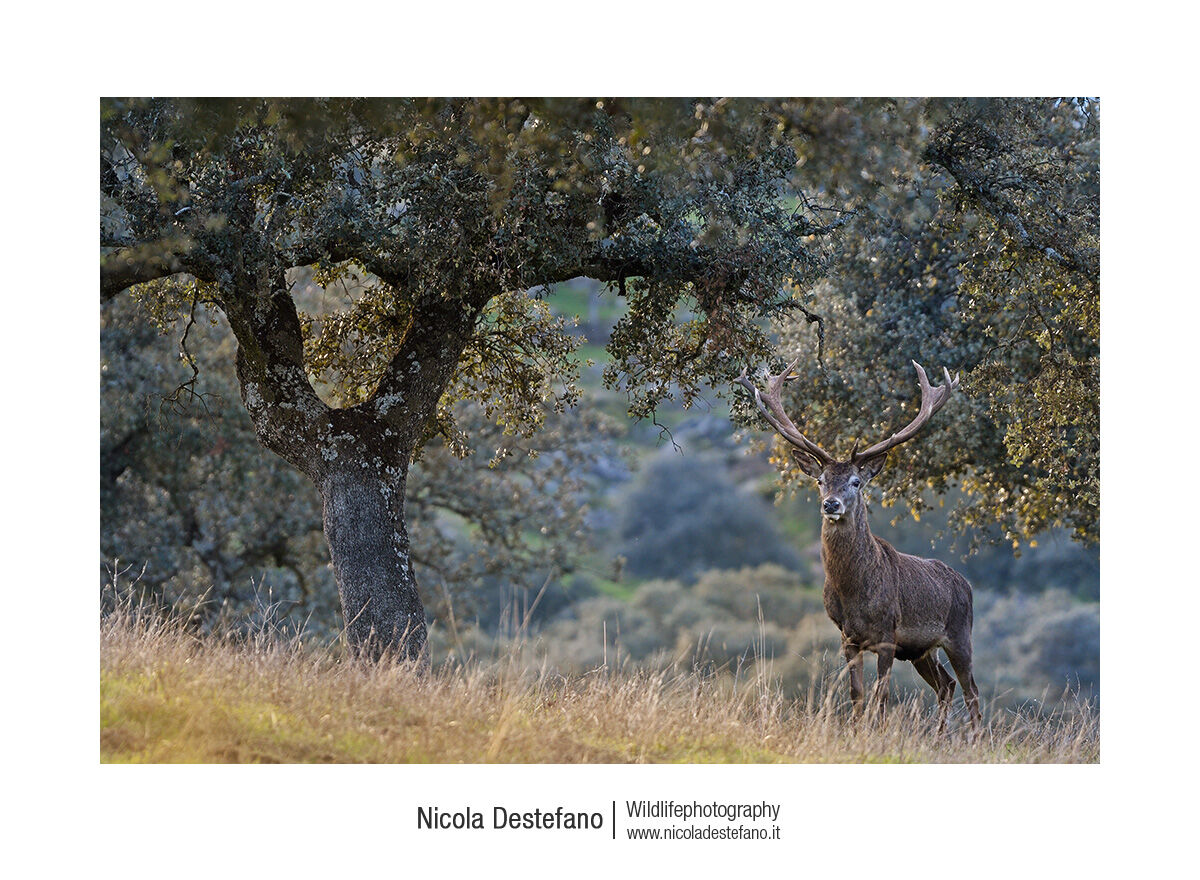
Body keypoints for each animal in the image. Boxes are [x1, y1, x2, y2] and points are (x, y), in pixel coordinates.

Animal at [736, 358, 981, 733]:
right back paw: (940, 736)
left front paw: (876, 734)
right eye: (821, 481)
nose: (831, 504)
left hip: (959, 633)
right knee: (946, 684)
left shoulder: (887, 635)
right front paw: (856, 732)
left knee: (971, 690)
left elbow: (881, 695)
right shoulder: (848, 637)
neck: (855, 593)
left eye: (855, 481)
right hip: (922, 650)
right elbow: (857, 694)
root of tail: (965, 584)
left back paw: (977, 738)